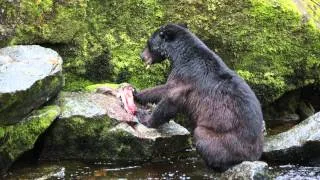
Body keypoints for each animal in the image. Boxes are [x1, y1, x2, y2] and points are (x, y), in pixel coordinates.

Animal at [134, 23, 262, 170]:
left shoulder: (186, 77)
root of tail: (253, 156)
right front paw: (137, 93)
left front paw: (143, 114)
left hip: (225, 139)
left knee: (203, 137)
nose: (141, 56)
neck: (182, 54)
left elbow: (170, 96)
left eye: (148, 43)